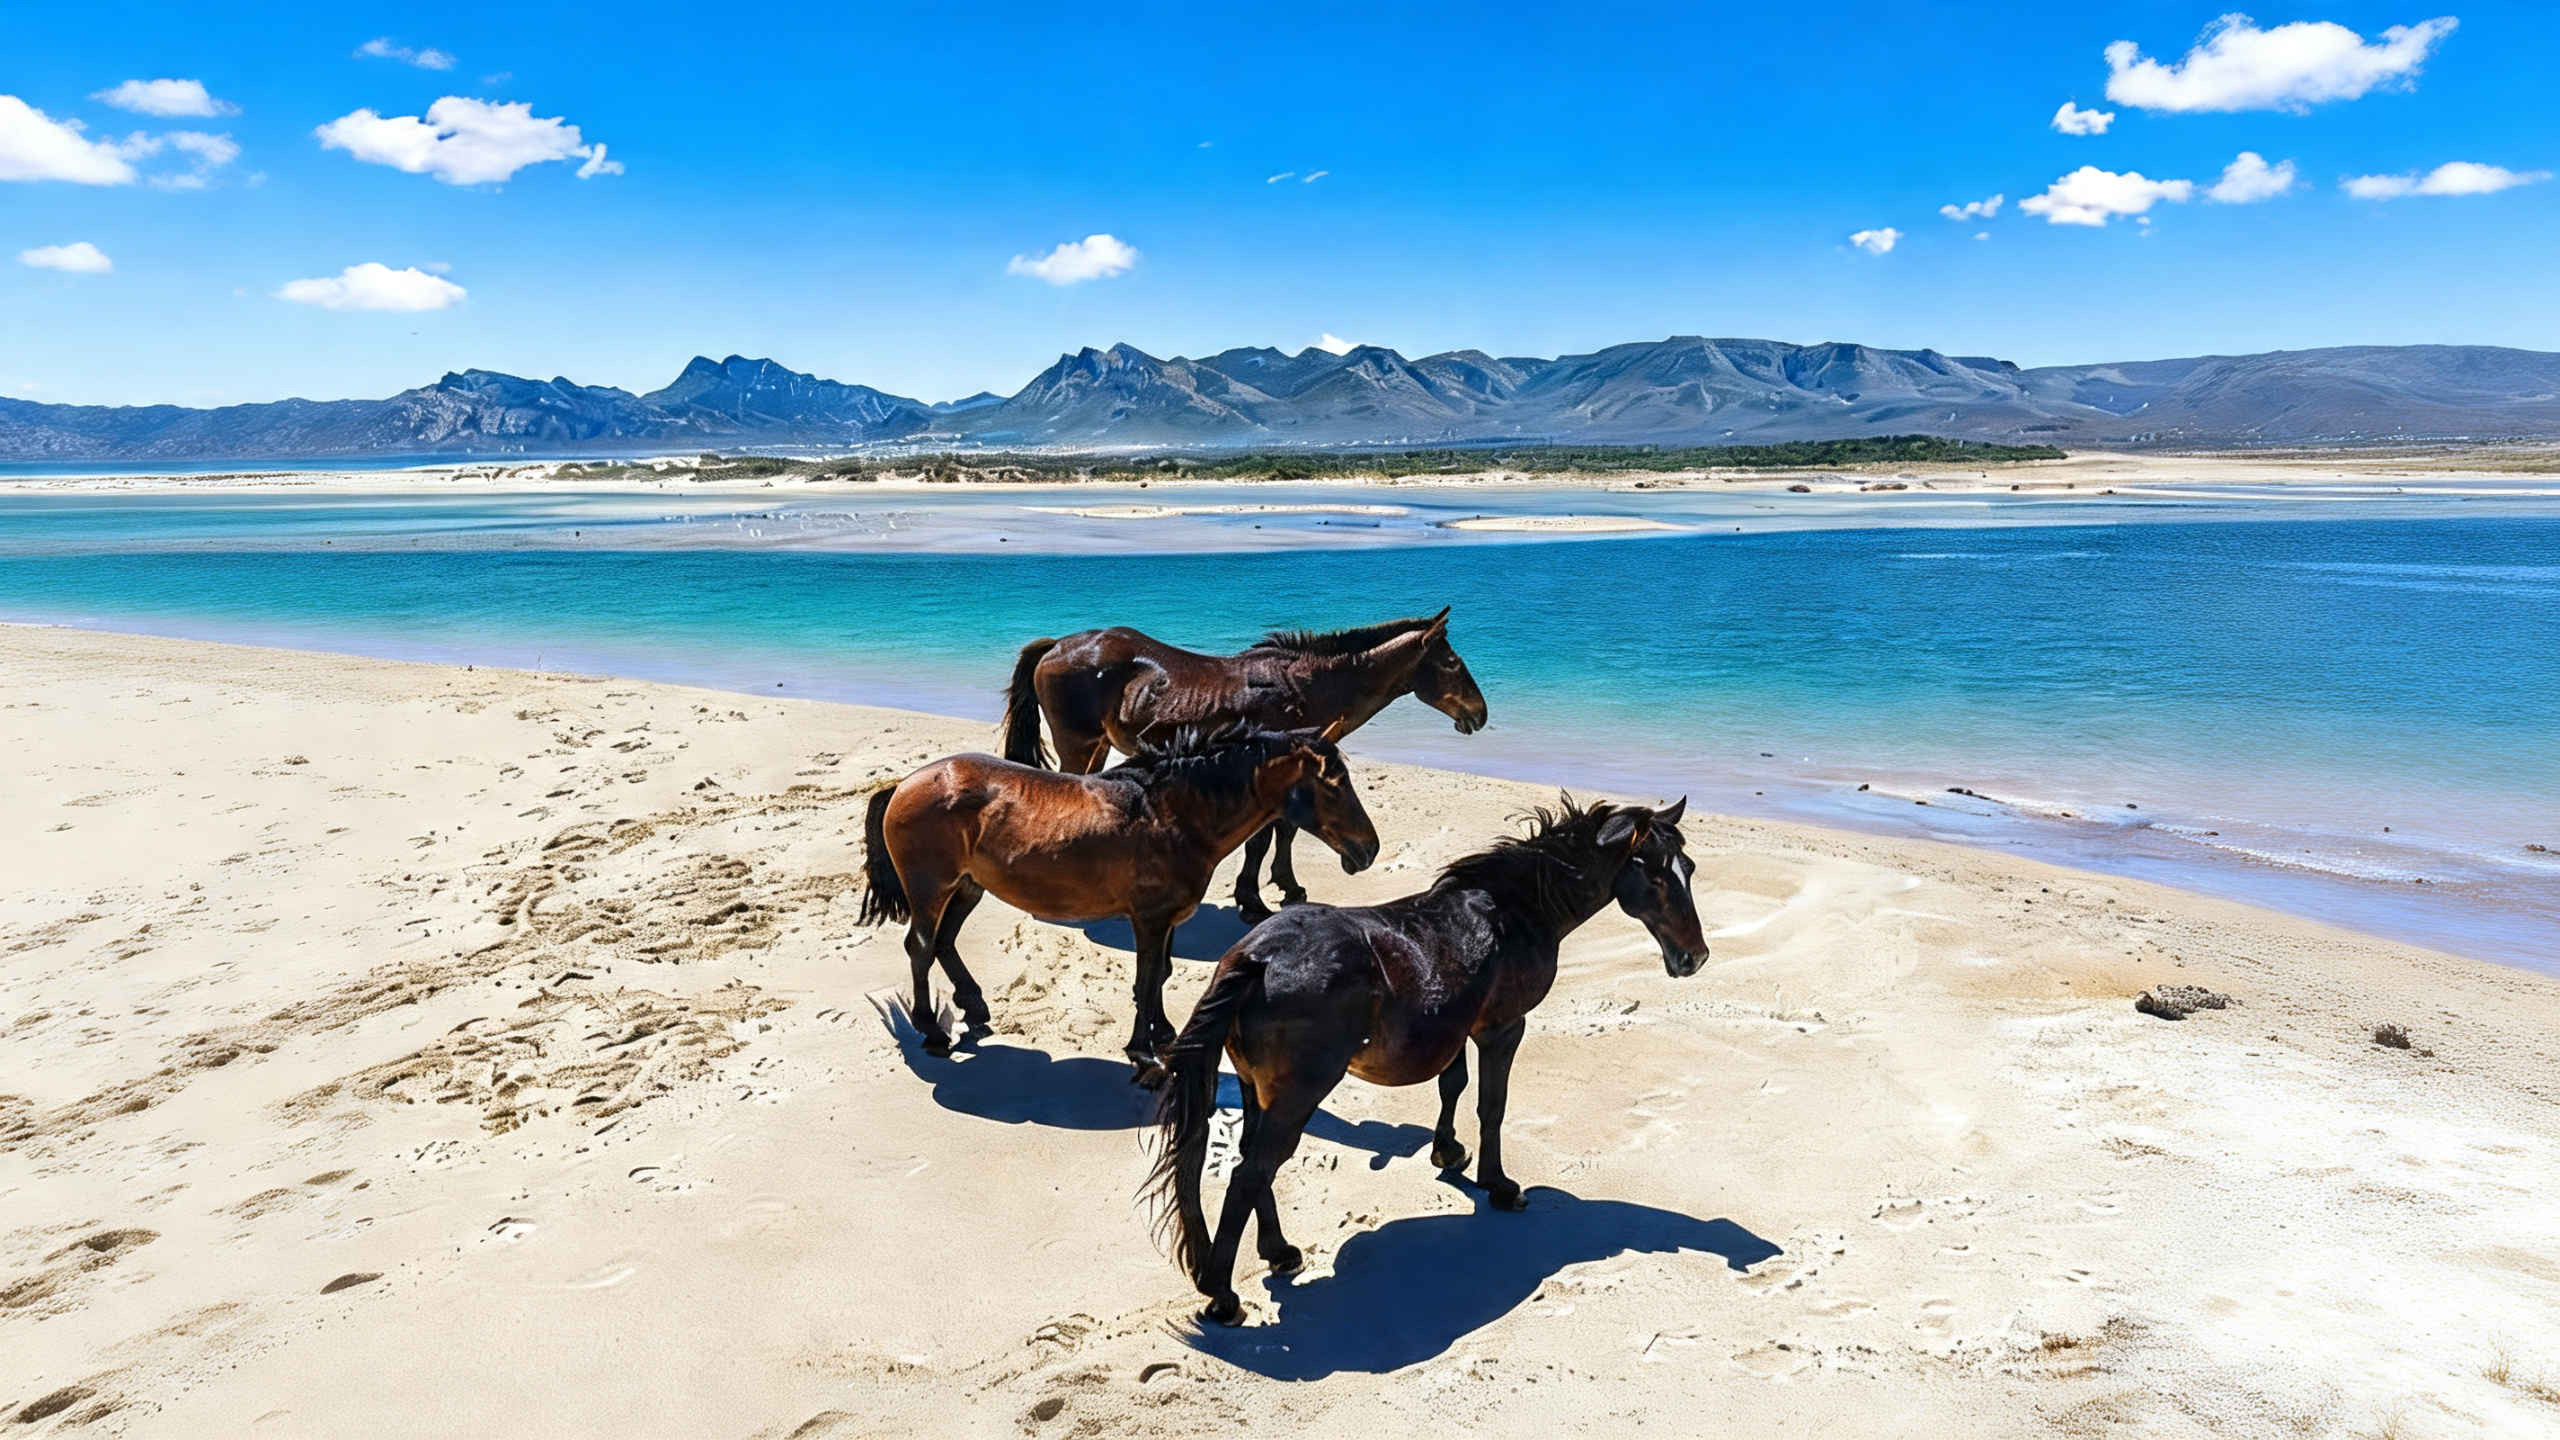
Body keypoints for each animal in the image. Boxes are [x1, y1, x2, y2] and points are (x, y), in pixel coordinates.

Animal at [857, 726, 1382, 1080]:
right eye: (1334, 783)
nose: (1369, 849)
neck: (1172, 814)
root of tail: (903, 784)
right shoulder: (1149, 919)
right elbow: (1146, 979)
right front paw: (1143, 1051)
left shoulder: (1167, 919)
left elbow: (1161, 975)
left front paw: (1165, 1035)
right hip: (931, 888)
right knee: (921, 946)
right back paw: (932, 1032)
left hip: (968, 886)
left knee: (944, 942)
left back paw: (975, 1008)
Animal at [997, 609, 1488, 923]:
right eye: (1452, 662)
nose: (1480, 715)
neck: (1306, 686)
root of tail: (1057, 646)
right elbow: (1262, 839)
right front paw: (1253, 901)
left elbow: (1283, 832)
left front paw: (1286, 888)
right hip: (1077, 744)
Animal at [1145, 796, 1704, 1325]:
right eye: (1656, 876)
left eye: (1690, 869)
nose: (1694, 957)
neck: (1517, 910)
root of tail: (1254, 958)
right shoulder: (1503, 1028)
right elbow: (1491, 1106)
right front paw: (1500, 1187)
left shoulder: (1455, 1027)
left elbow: (1451, 1085)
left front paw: (1448, 1152)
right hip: (1297, 1095)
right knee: (1251, 1174)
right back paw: (1223, 1295)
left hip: (1257, 1088)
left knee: (1252, 1165)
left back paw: (1279, 1252)